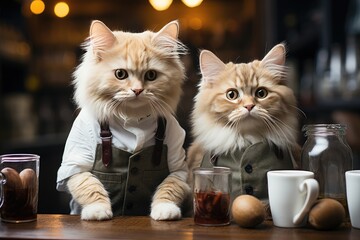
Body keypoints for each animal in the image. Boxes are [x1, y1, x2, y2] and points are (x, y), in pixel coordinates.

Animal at [56, 21, 190, 221]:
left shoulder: (179, 166)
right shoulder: (75, 165)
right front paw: (98, 211)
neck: (133, 118)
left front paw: (165, 210)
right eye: (120, 74)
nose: (137, 90)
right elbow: (90, 187)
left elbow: (169, 188)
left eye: (151, 75)